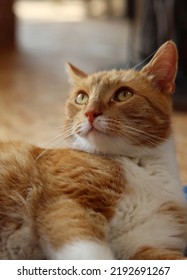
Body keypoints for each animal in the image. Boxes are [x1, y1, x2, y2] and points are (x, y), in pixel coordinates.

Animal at [0, 41, 187, 260]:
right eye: (81, 97)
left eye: (124, 94)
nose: (90, 113)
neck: (142, 166)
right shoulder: (67, 203)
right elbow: (91, 254)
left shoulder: (144, 243)